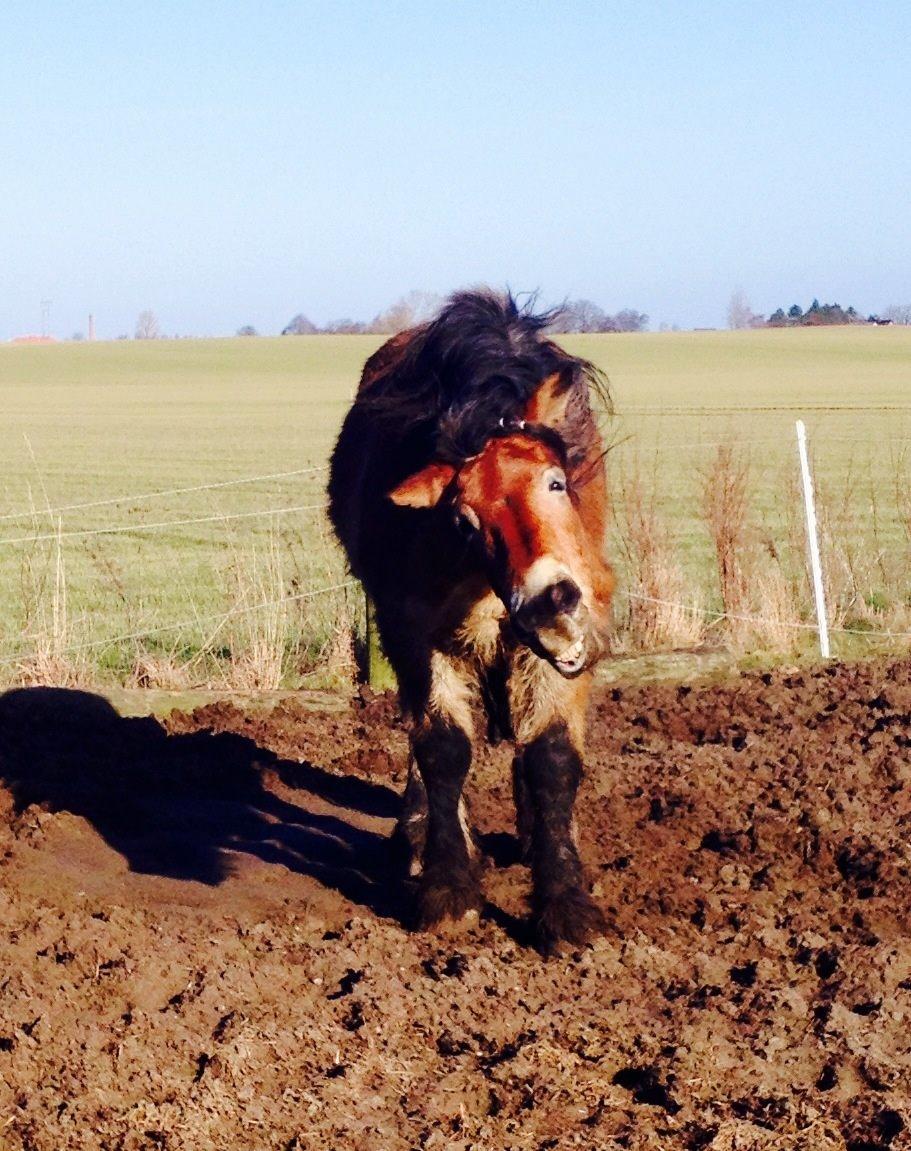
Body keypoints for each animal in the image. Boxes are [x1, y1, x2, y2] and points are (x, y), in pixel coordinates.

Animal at [327, 290, 612, 953]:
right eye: (465, 518)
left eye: (555, 483)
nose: (550, 601)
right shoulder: (416, 635)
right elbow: (443, 750)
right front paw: (448, 887)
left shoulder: (558, 648)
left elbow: (552, 757)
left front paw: (566, 902)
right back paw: (418, 834)